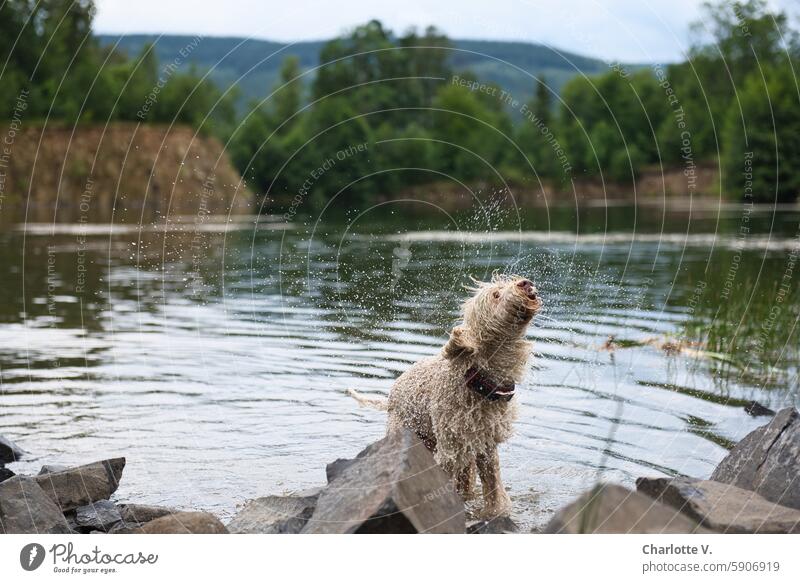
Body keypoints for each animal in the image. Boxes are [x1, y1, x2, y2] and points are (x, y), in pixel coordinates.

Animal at [348, 276, 540, 516]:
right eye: (496, 294)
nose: (525, 283)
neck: (476, 382)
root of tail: (391, 395)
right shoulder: (449, 450)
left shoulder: (485, 446)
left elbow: (493, 487)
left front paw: (495, 512)